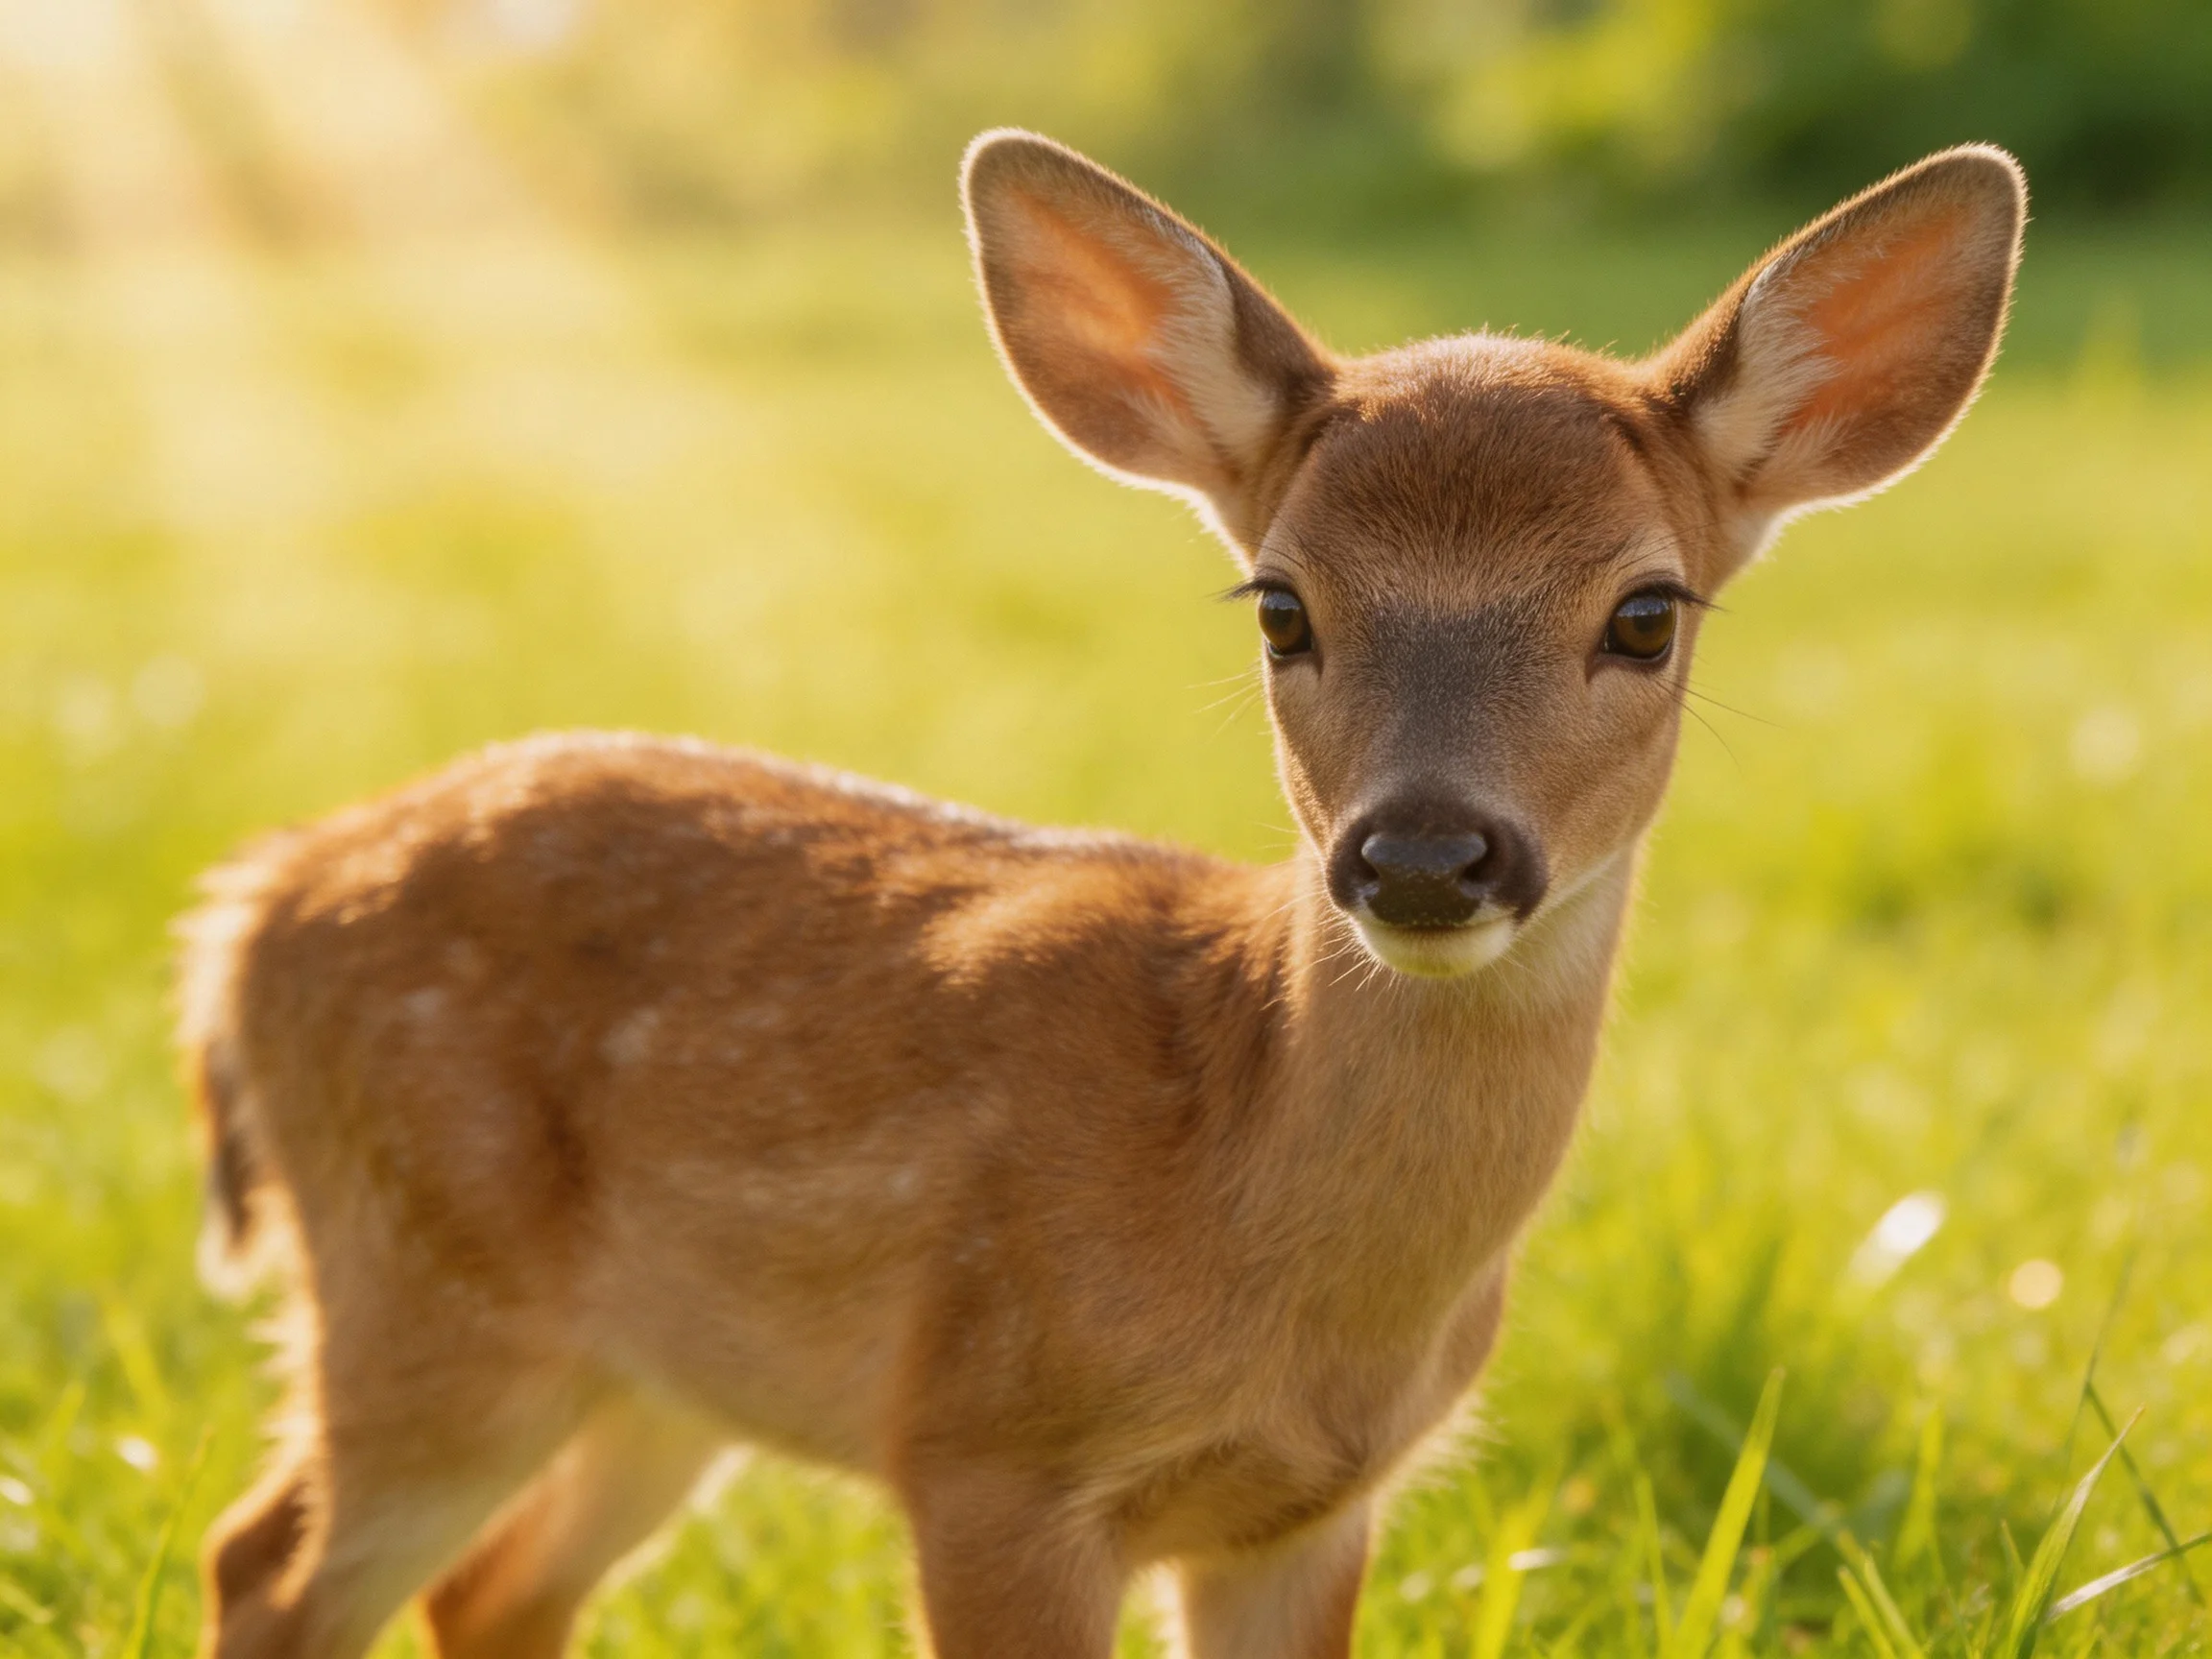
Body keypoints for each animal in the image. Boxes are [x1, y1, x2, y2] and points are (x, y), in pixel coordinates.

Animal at [180, 130, 2024, 1659]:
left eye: (1645, 612)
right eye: (1279, 604)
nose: (1424, 853)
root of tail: (249, 900)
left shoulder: (1306, 1512)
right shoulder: (981, 1446)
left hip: (648, 1376)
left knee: (489, 1590)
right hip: (425, 1288)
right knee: (264, 1561)